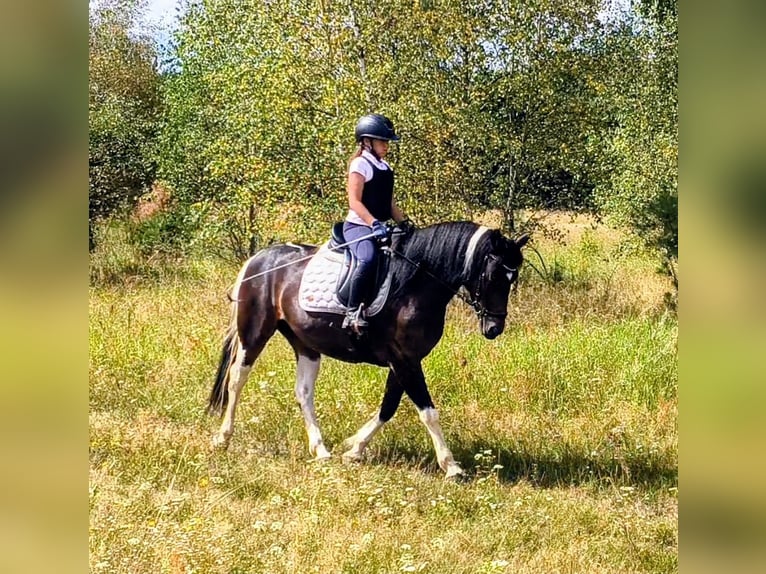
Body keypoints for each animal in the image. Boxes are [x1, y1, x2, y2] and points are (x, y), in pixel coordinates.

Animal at [207, 221, 529, 479]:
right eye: (492, 276)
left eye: (513, 278)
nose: (494, 328)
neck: (415, 285)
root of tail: (258, 258)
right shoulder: (404, 360)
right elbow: (428, 412)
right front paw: (451, 466)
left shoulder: (405, 360)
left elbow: (389, 407)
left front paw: (354, 448)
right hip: (254, 333)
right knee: (236, 380)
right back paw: (222, 439)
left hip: (305, 343)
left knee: (303, 393)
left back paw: (321, 450)